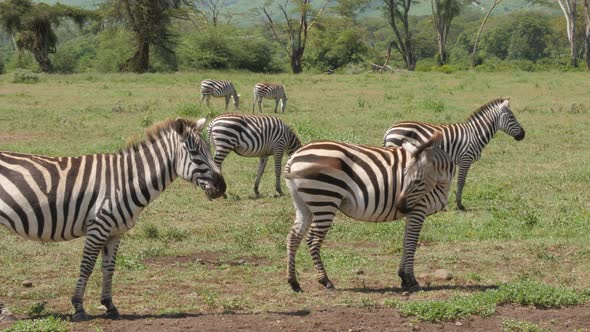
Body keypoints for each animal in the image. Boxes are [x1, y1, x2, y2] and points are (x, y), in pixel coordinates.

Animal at [0, 117, 227, 322]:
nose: (222, 187)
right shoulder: (98, 226)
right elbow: (87, 266)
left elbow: (108, 268)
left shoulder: (115, 231)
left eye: (208, 149)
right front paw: (79, 308)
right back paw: (6, 314)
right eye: (194, 153)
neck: (124, 181)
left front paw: (109, 306)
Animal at [284, 132, 456, 294]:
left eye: (417, 181)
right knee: (313, 239)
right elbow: (411, 243)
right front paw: (411, 280)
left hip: (303, 204)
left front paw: (403, 278)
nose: (400, 206)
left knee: (294, 237)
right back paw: (326, 281)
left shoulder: (412, 211)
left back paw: (294, 282)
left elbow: (406, 241)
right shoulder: (418, 209)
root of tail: (294, 156)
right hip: (325, 199)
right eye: (405, 176)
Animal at [384, 97, 528, 210]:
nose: (523, 134)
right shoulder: (465, 159)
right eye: (511, 117)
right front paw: (459, 205)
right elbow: (461, 182)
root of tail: (389, 130)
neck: (475, 134)